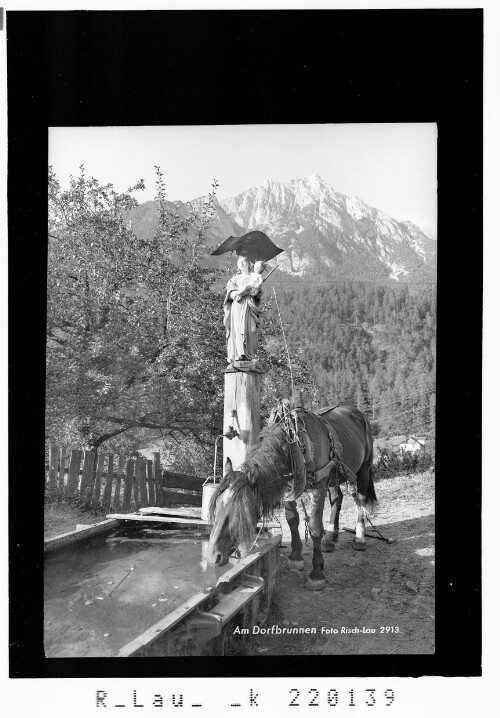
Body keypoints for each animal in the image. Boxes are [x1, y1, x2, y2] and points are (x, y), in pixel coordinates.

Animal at [205, 404, 376, 592]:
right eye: (217, 505)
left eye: (241, 510)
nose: (212, 556)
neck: (294, 446)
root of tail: (355, 412)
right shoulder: (288, 488)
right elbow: (292, 520)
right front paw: (295, 557)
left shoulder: (319, 485)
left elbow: (315, 528)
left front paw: (317, 573)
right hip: (335, 475)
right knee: (337, 499)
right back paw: (330, 538)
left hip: (363, 469)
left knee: (361, 500)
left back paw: (359, 538)